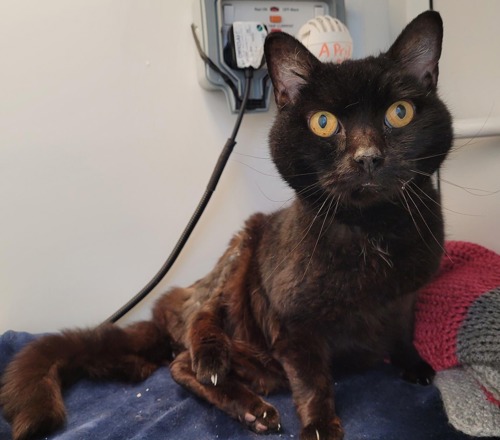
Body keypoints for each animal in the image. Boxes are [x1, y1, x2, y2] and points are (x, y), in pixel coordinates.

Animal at [0, 10, 454, 440]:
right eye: (323, 122)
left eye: (400, 113)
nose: (367, 157)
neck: (369, 233)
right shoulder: (292, 326)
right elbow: (312, 379)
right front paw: (320, 425)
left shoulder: (406, 295)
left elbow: (403, 330)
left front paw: (414, 364)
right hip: (242, 254)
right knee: (189, 348)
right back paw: (226, 378)